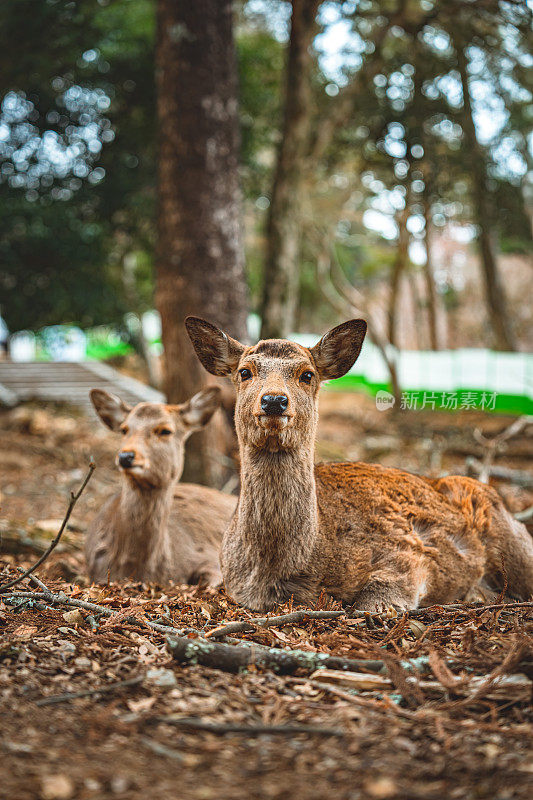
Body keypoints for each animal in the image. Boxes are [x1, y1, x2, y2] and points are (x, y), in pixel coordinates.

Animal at [184, 316, 532, 608]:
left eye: (307, 374)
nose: (274, 401)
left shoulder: (407, 556)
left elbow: (373, 601)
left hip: (516, 547)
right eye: (244, 372)